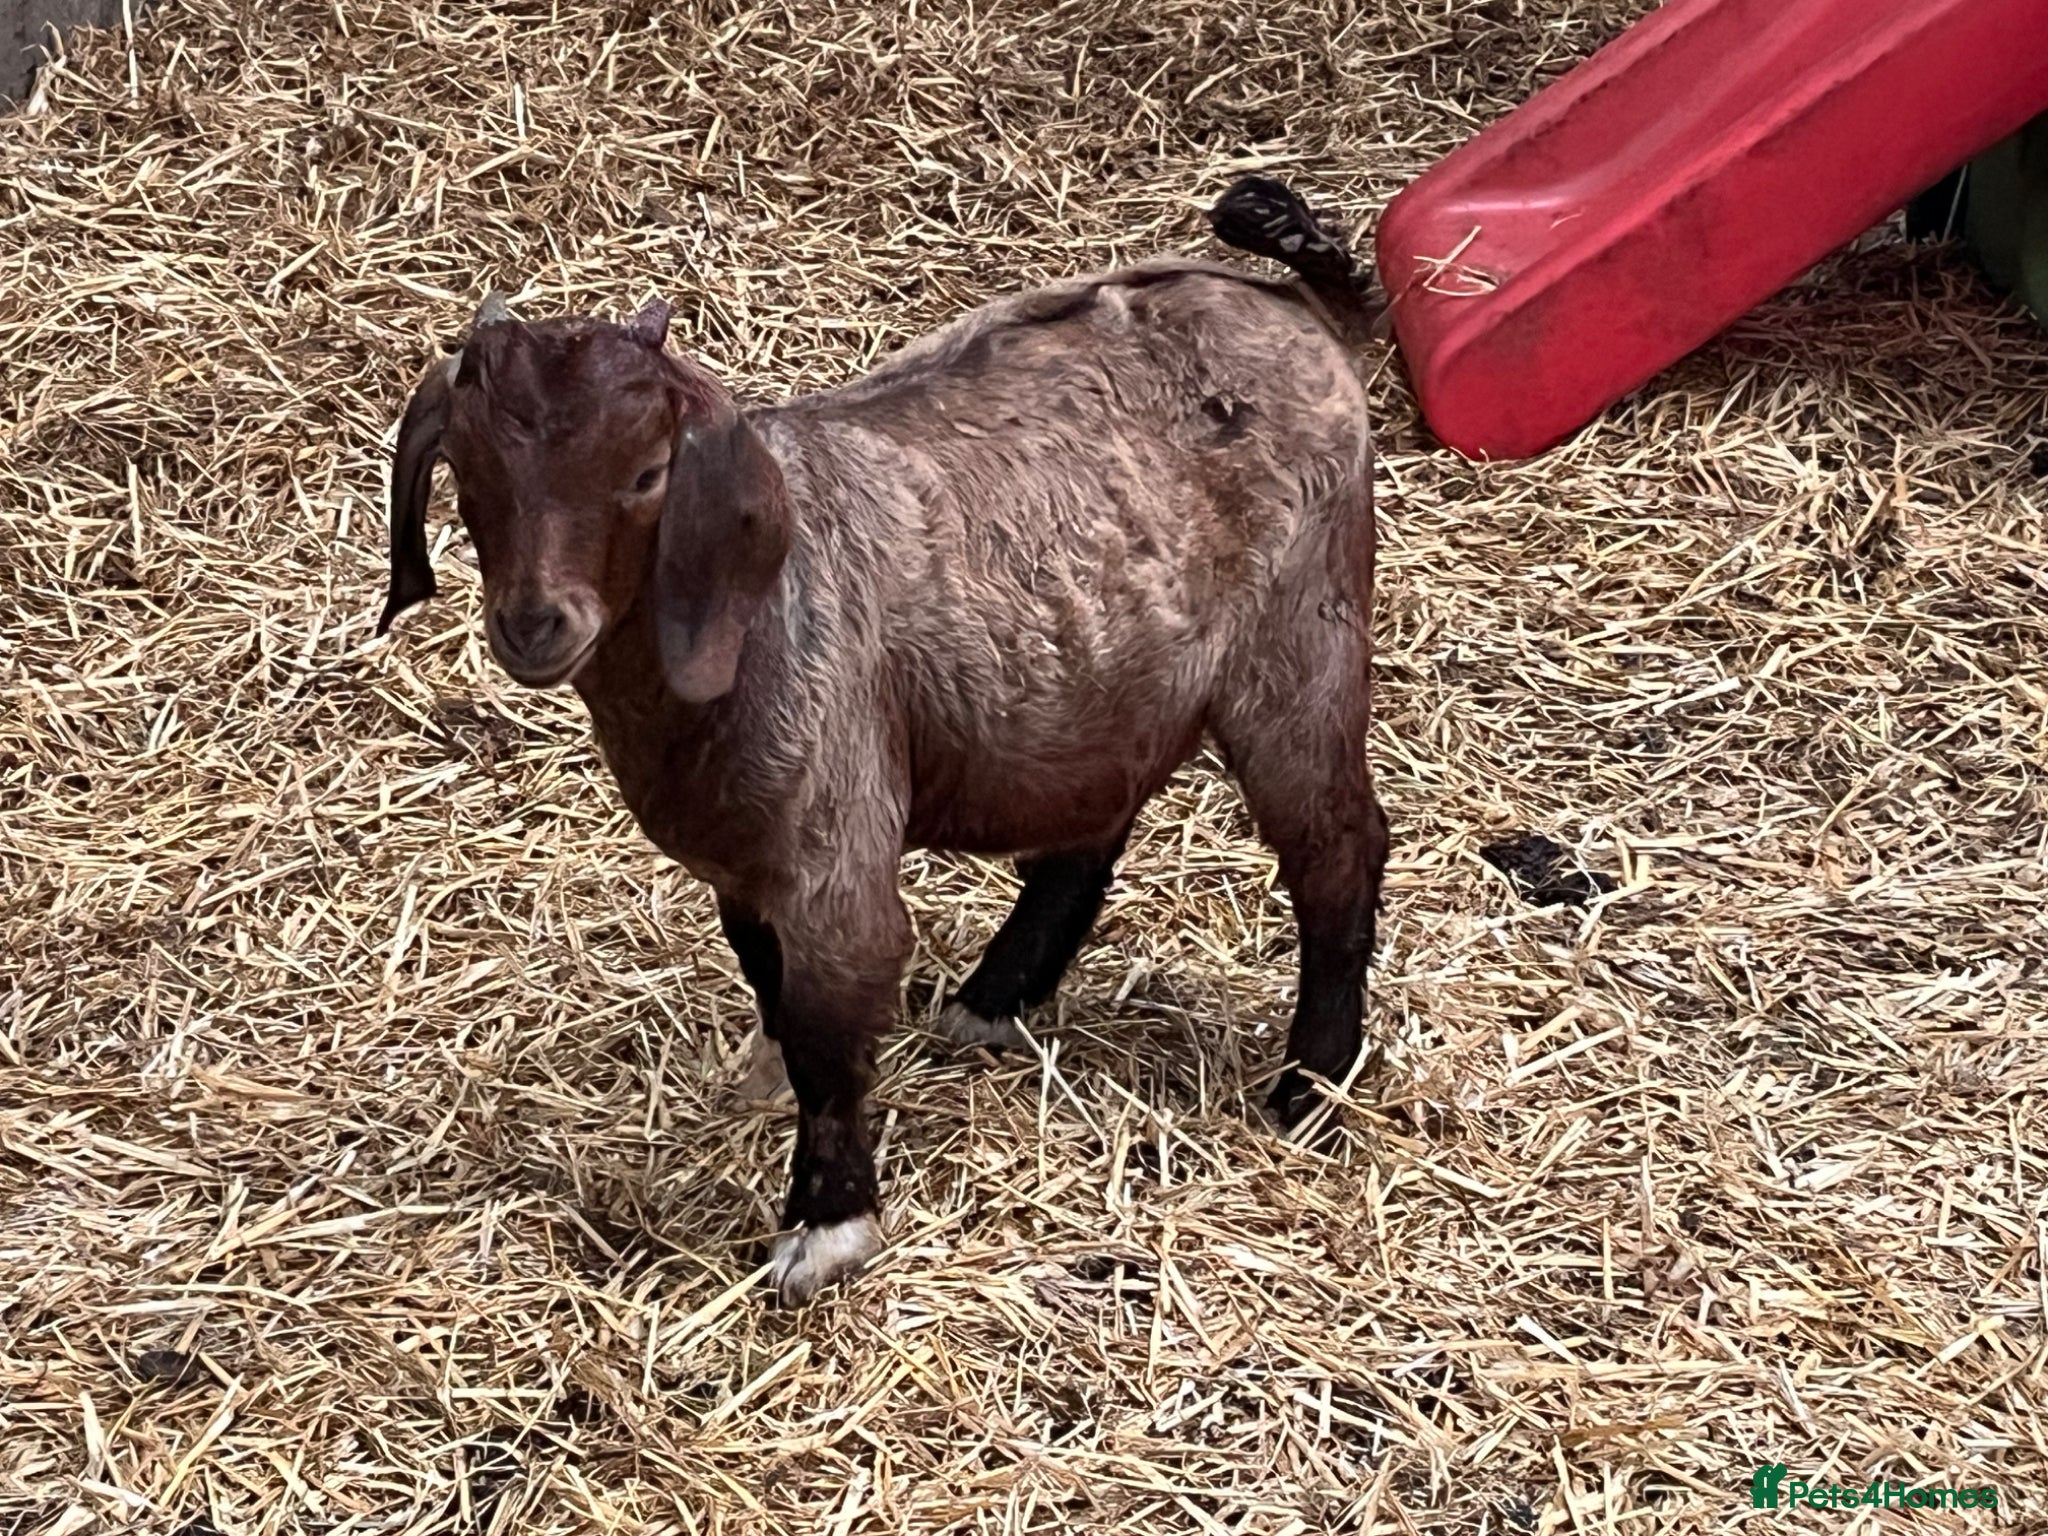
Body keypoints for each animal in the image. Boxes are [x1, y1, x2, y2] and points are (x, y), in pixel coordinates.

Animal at [378, 177, 1390, 1305]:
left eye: (646, 474)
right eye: (467, 470)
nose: (535, 624)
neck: (750, 618)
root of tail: (1296, 305)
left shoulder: (830, 841)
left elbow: (830, 1021)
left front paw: (827, 1225)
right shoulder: (742, 861)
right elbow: (766, 975)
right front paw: (769, 1072)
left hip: (1300, 639)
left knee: (1338, 846)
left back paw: (1311, 1084)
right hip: (1102, 675)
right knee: (1095, 822)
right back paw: (993, 999)